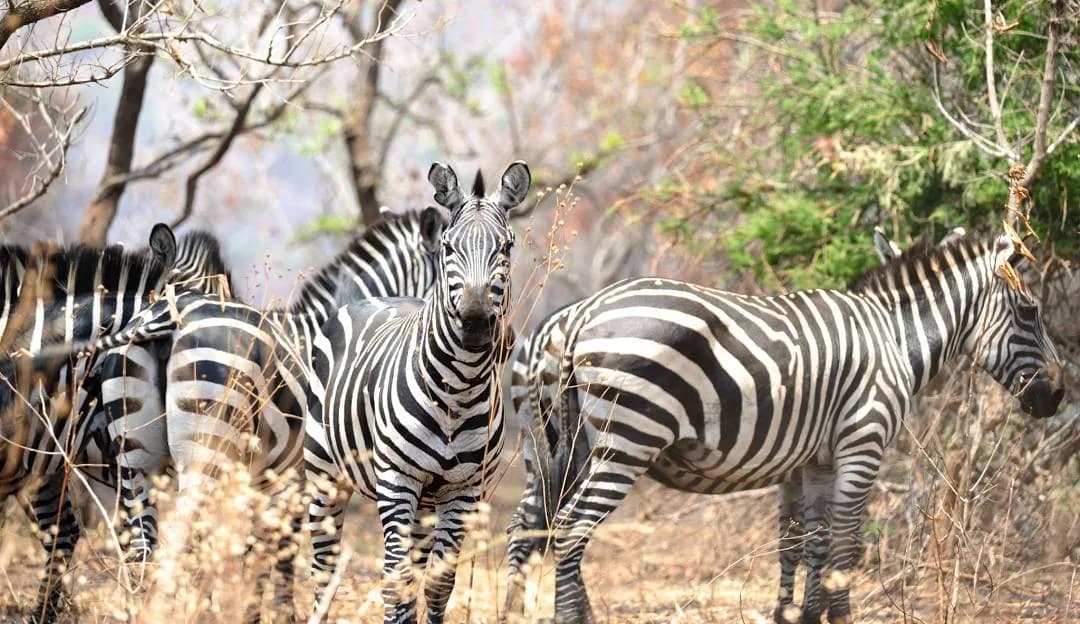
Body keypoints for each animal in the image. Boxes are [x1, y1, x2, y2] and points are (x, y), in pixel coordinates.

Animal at [304, 161, 530, 623]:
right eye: (448, 248)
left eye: (506, 247)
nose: (476, 323)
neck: (458, 392)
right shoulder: (397, 481)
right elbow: (396, 582)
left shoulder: (464, 491)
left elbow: (439, 583)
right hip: (323, 477)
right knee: (323, 569)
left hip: (427, 504)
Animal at [502, 231, 1063, 624]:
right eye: (1030, 311)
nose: (1057, 396)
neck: (892, 338)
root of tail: (581, 315)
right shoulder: (863, 442)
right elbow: (844, 541)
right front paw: (839, 617)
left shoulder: (813, 461)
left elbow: (805, 540)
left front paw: (800, 615)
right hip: (627, 438)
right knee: (571, 528)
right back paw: (571, 617)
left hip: (552, 445)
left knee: (526, 528)